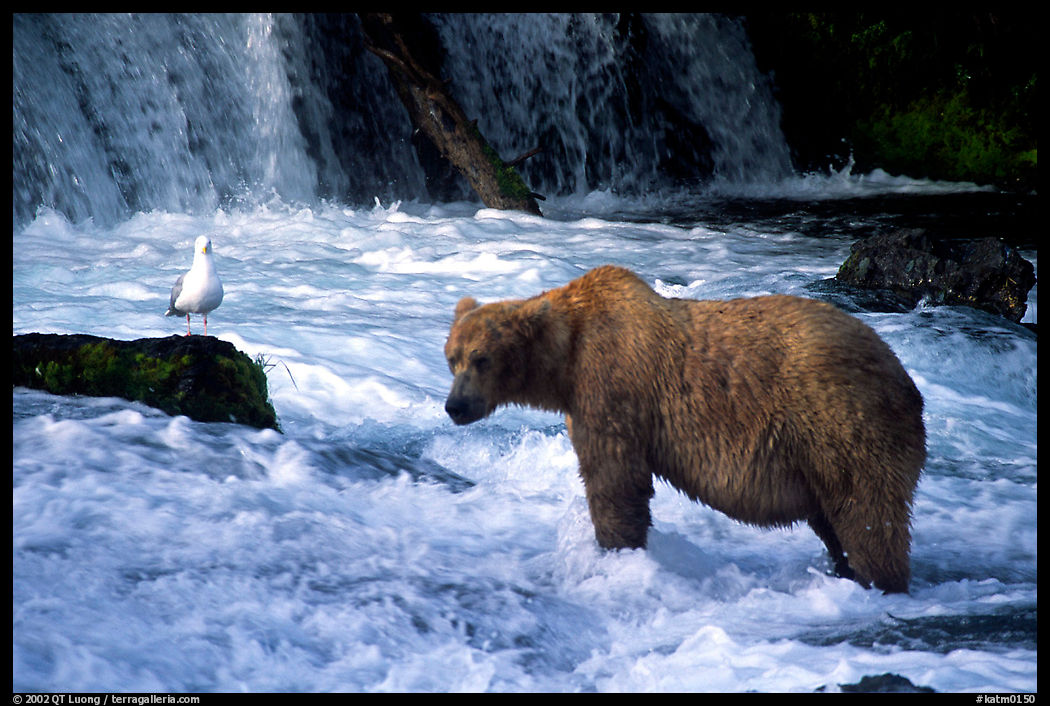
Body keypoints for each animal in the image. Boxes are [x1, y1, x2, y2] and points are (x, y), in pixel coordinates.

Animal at [443, 265, 925, 593]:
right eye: (452, 357)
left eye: (481, 358)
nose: (455, 406)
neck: (565, 361)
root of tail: (902, 373)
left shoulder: (611, 386)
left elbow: (614, 480)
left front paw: (616, 552)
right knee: (834, 518)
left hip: (842, 422)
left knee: (866, 513)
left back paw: (879, 579)